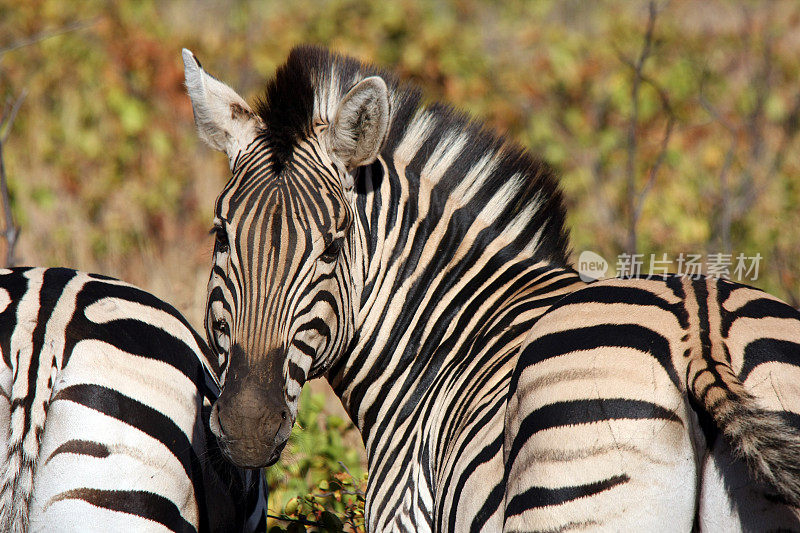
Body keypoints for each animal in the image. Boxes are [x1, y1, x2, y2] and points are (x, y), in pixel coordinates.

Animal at [183, 47, 800, 528]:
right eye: (221, 237)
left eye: (332, 247)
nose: (247, 427)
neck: (439, 340)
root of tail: (700, 330)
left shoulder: (405, 515)